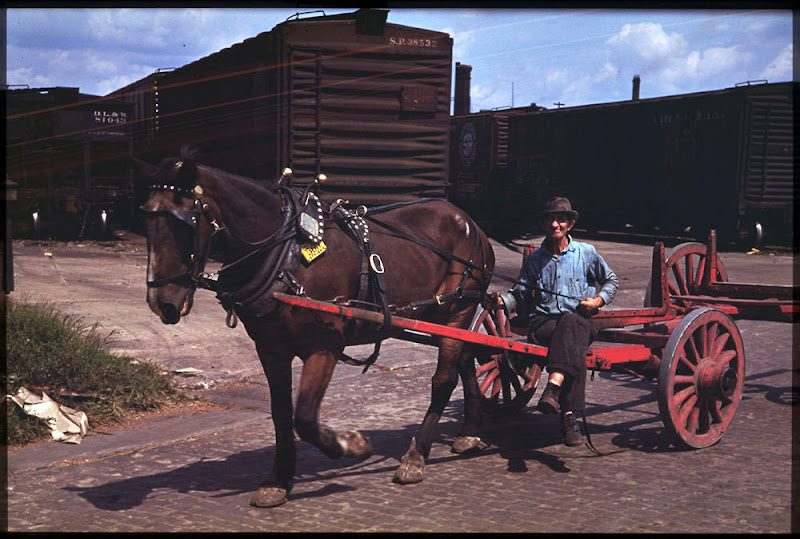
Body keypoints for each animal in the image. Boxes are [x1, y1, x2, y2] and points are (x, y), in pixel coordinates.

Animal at [138, 151, 494, 506]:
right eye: (147, 220)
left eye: (183, 222)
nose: (161, 302)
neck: (287, 254)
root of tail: (469, 221)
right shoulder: (271, 347)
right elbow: (281, 412)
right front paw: (278, 479)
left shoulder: (324, 346)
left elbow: (306, 417)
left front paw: (352, 445)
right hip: (441, 317)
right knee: (465, 358)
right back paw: (469, 431)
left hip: (459, 306)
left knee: (443, 380)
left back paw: (416, 455)